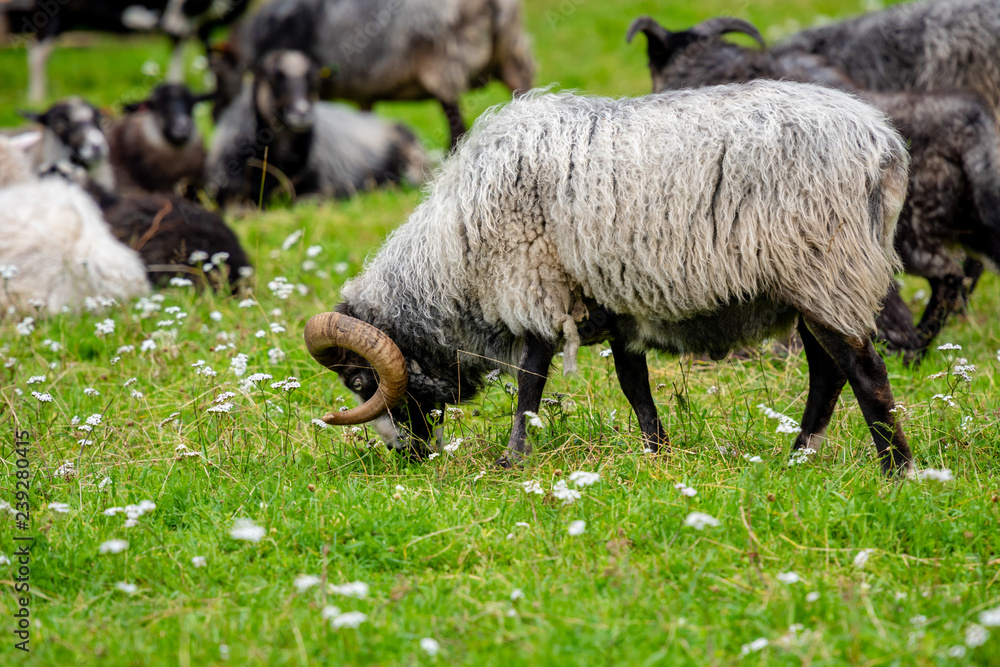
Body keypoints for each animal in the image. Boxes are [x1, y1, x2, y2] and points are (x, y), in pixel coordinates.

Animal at [4, 0, 250, 103]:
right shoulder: (178, 17)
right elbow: (178, 46)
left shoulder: (206, 24)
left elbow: (209, 53)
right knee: (38, 51)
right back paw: (36, 98)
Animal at [303, 85, 915, 476]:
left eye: (359, 381)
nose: (405, 456)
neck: (455, 257)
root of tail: (883, 145)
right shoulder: (618, 303)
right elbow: (633, 383)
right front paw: (656, 450)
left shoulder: (535, 285)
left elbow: (530, 381)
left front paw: (512, 459)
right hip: (812, 284)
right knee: (827, 374)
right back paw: (798, 458)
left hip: (827, 268)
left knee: (864, 369)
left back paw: (897, 471)